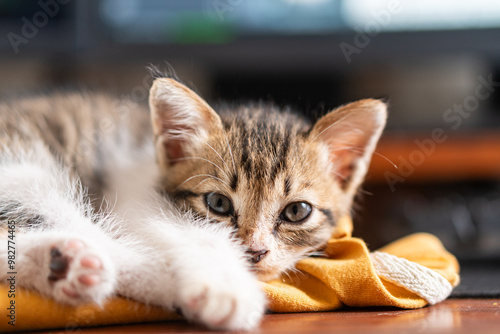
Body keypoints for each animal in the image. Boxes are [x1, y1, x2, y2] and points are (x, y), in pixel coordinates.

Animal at [0, 74, 386, 330]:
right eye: (218, 203)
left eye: (296, 211)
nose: (255, 252)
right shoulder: (135, 197)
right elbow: (189, 232)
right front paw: (224, 288)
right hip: (28, 171)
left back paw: (61, 263)